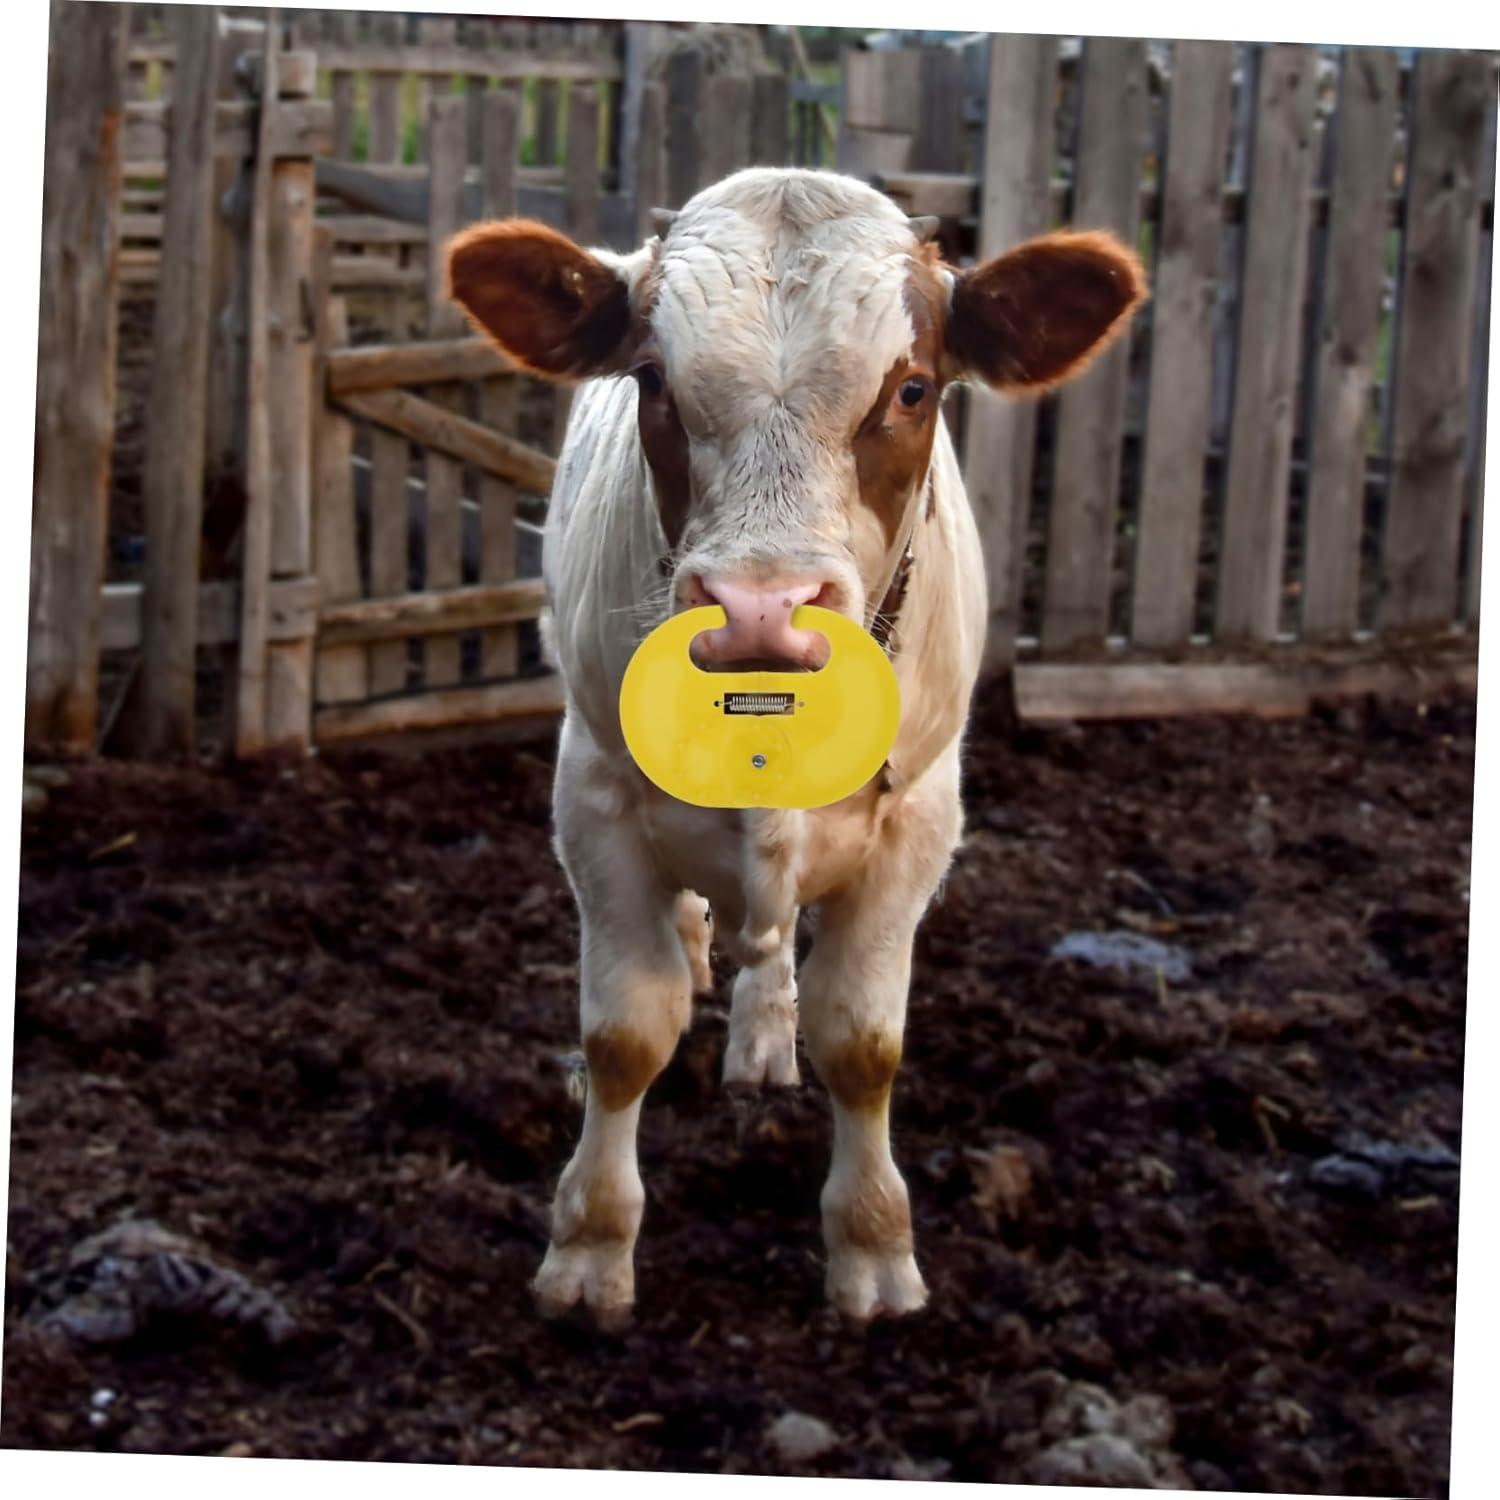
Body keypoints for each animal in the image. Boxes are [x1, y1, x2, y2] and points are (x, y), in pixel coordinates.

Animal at [446, 168, 1145, 1327]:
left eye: (911, 389)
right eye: (653, 379)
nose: (761, 612)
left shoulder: (919, 819)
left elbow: (862, 1042)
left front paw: (872, 1245)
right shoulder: (592, 796)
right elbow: (624, 1034)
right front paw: (590, 1246)